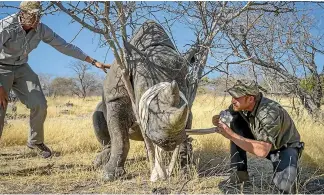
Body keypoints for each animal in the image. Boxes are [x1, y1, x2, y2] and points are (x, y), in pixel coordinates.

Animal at [92, 20, 196, 181]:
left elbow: (186, 128)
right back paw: (100, 161)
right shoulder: (115, 97)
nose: (169, 141)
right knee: (97, 117)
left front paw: (186, 171)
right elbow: (120, 138)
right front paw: (109, 175)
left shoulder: (187, 105)